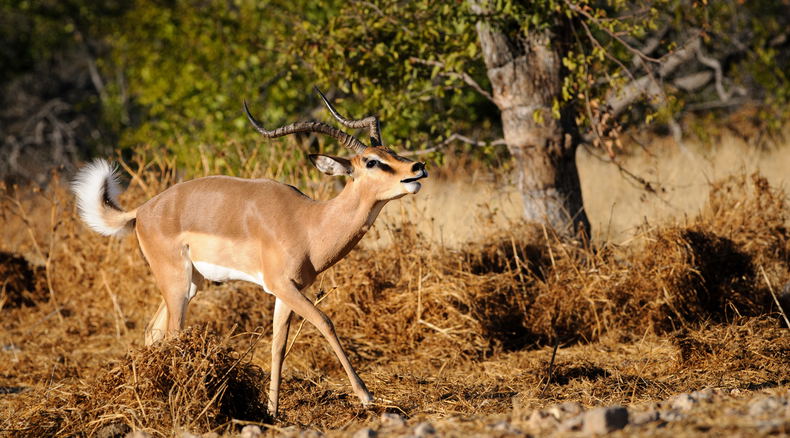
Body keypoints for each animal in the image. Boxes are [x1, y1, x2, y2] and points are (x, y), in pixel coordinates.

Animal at [72, 88, 428, 415]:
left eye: (391, 151)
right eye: (372, 161)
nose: (418, 167)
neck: (309, 222)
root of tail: (142, 211)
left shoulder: (287, 291)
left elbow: (278, 346)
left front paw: (272, 411)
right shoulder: (282, 286)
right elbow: (325, 322)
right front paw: (367, 396)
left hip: (191, 284)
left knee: (153, 332)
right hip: (176, 283)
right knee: (171, 333)